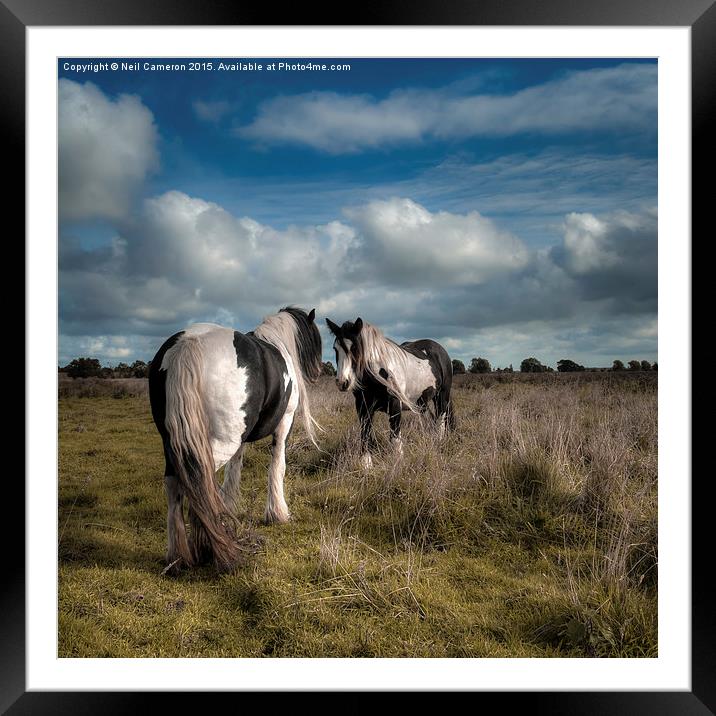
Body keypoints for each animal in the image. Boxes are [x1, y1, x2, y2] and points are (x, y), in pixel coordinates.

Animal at [150, 304, 320, 572]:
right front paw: (278, 513)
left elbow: (234, 470)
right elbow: (278, 466)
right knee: (200, 483)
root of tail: (188, 343)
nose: (318, 372)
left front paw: (229, 506)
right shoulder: (284, 424)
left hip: (175, 443)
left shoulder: (241, 438)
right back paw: (209, 549)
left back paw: (179, 557)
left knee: (176, 484)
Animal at [324, 316, 454, 468]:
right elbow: (365, 433)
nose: (342, 382)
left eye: (355, 347)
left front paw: (397, 463)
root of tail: (440, 349)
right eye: (335, 349)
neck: (378, 373)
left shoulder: (395, 406)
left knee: (441, 419)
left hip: (442, 396)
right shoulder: (363, 407)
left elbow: (395, 437)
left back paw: (439, 442)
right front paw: (366, 464)